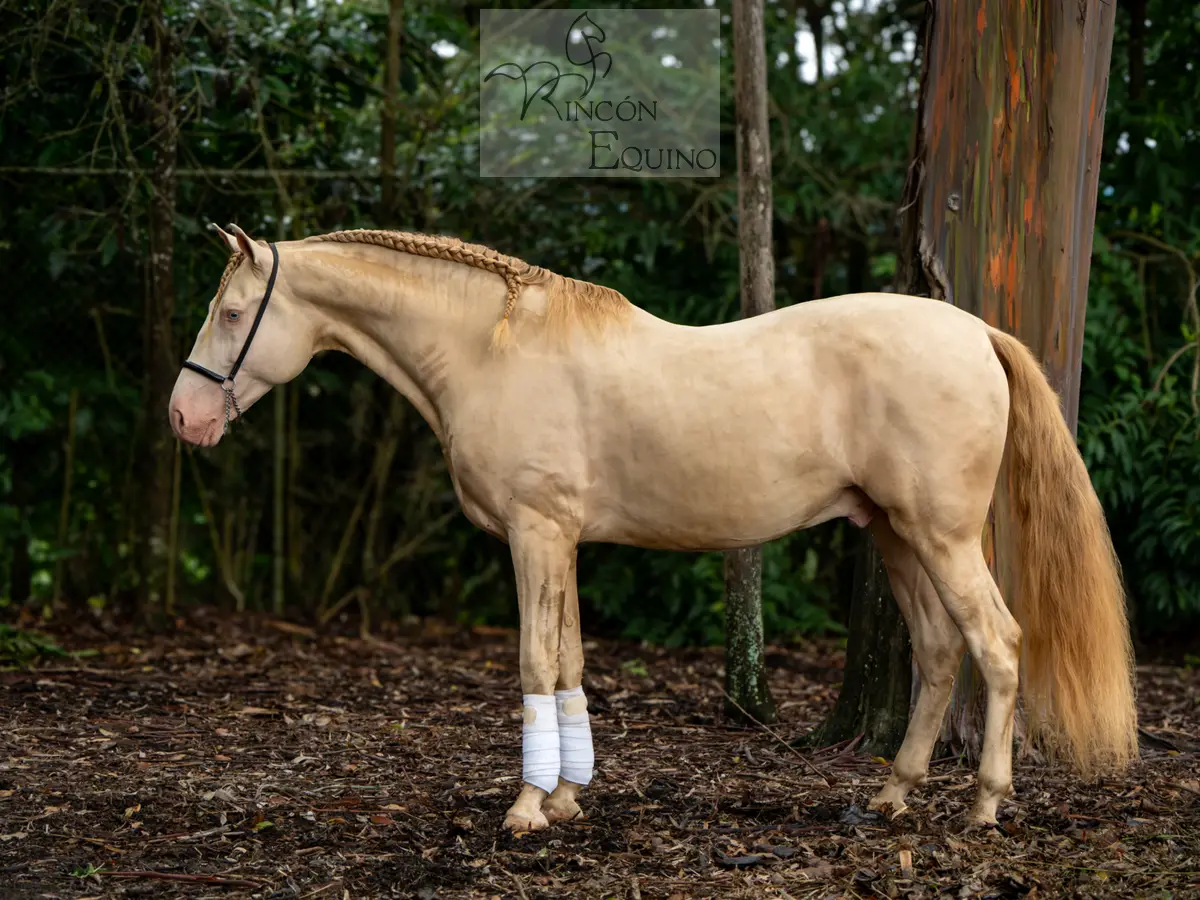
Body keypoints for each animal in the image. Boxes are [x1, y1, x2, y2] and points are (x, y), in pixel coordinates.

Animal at [169, 223, 1138, 832]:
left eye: (229, 313)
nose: (184, 418)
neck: (491, 349)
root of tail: (975, 331)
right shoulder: (559, 540)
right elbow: (568, 660)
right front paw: (566, 798)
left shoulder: (534, 533)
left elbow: (535, 661)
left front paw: (526, 809)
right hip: (895, 534)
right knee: (938, 652)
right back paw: (893, 795)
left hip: (940, 536)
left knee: (998, 644)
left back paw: (984, 804)